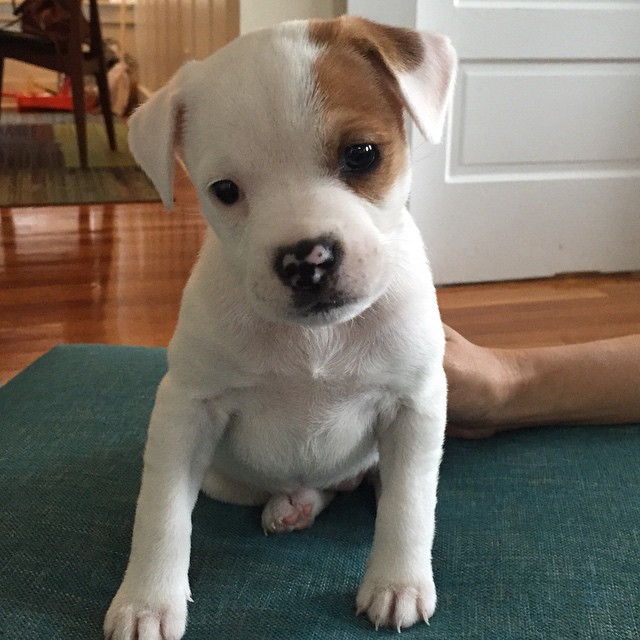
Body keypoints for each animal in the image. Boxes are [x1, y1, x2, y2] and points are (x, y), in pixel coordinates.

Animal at [105, 16, 456, 640]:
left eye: (362, 154)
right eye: (224, 190)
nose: (305, 260)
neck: (316, 338)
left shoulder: (415, 405)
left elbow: (410, 501)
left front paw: (398, 582)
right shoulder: (186, 410)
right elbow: (162, 510)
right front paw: (146, 601)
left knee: (372, 481)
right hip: (224, 476)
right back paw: (294, 503)